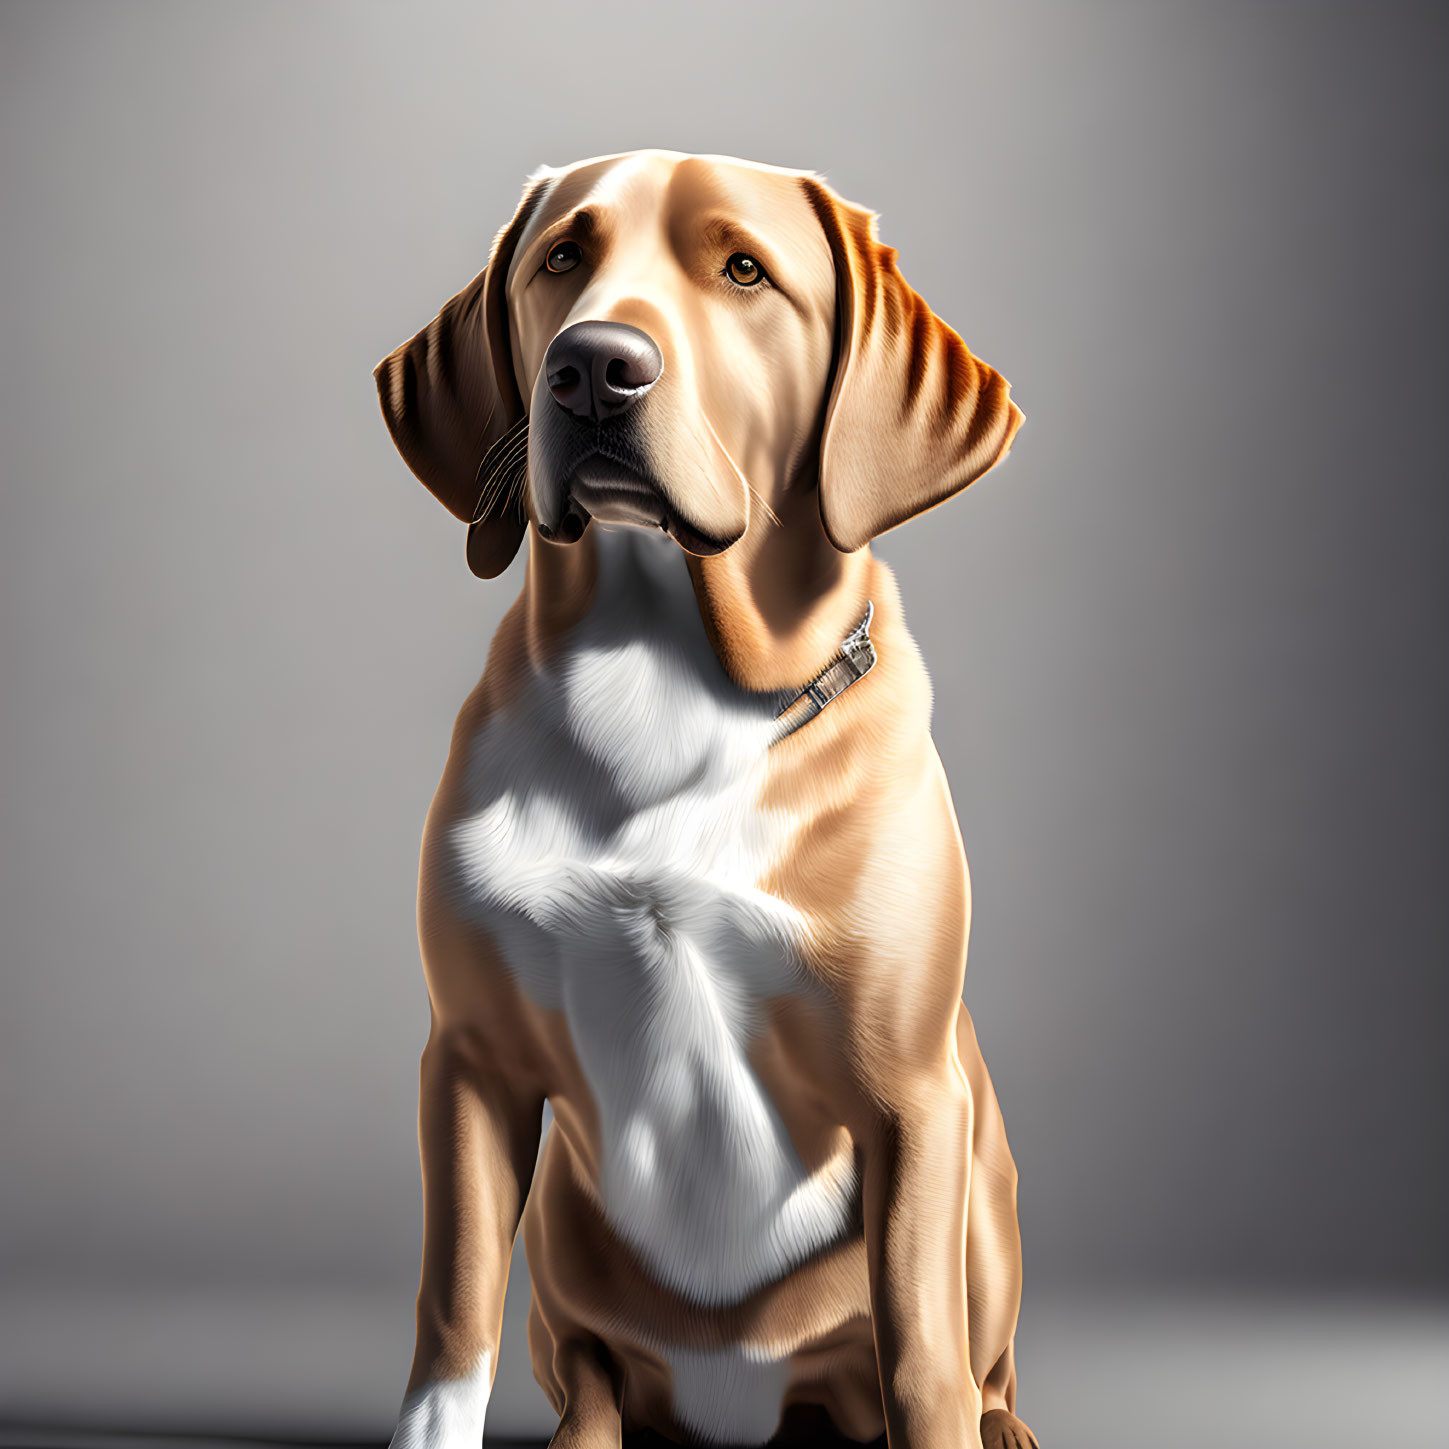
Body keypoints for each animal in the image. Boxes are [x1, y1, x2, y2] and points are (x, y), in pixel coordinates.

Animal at [373, 147, 1031, 1449]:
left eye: (743, 271)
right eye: (561, 259)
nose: (594, 366)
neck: (666, 693)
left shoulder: (912, 1099)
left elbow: (924, 1356)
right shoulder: (471, 1061)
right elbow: (455, 1301)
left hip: (986, 1179)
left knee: (978, 1369)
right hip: (564, 1238)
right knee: (585, 1370)